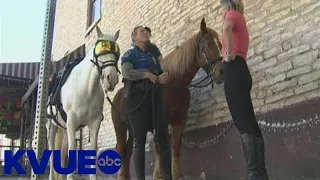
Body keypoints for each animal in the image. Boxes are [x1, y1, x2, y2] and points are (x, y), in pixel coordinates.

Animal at [45, 25, 120, 180]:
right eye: (101, 48)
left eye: (117, 52)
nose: (112, 79)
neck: (86, 89)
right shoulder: (72, 122)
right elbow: (72, 150)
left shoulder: (94, 123)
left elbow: (92, 150)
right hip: (52, 127)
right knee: (52, 150)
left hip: (64, 127)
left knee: (62, 151)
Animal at [111, 17, 224, 179]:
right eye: (207, 44)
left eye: (219, 44)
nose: (221, 72)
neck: (174, 84)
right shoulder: (160, 122)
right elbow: (160, 149)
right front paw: (158, 175)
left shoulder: (179, 120)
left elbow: (175, 147)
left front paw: (176, 174)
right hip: (121, 128)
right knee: (121, 149)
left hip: (133, 129)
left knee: (128, 153)